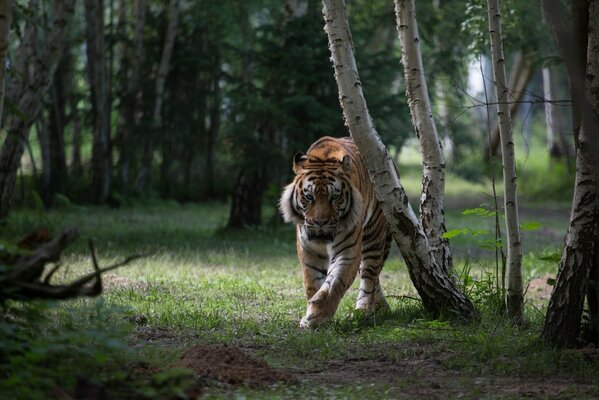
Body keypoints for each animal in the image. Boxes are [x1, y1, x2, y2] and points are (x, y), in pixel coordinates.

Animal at [280, 136, 394, 330]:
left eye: (334, 197)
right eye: (309, 197)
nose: (320, 222)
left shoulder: (347, 251)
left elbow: (333, 285)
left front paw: (317, 318)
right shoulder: (308, 250)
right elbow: (313, 284)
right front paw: (312, 312)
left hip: (373, 235)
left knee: (370, 274)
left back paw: (364, 309)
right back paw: (381, 308)